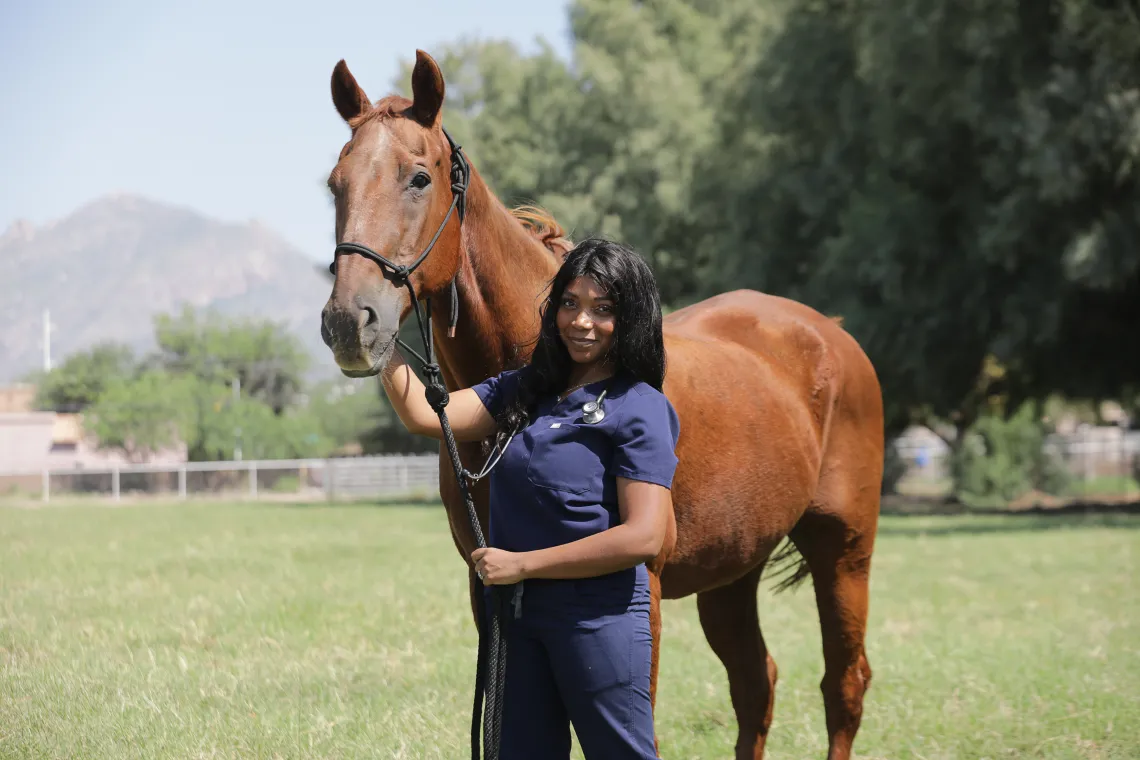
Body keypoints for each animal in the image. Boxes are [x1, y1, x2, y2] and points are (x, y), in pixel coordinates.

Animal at [316, 50, 884, 756]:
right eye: (335, 185)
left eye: (419, 178)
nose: (349, 322)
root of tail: (831, 332)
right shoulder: (488, 586)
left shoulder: (643, 588)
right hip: (734, 570)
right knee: (758, 684)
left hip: (845, 551)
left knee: (844, 683)